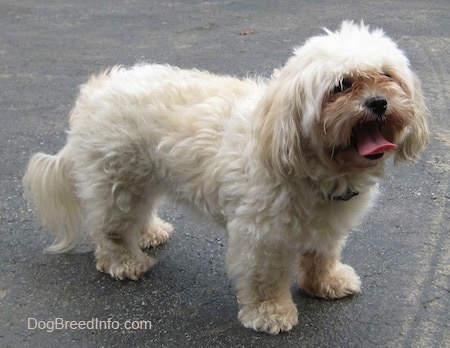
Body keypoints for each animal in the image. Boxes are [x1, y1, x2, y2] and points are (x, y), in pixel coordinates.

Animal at [23, 21, 428, 334]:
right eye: (341, 85)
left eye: (387, 76)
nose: (378, 102)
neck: (311, 167)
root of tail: (96, 91)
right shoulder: (261, 235)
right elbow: (265, 278)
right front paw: (270, 314)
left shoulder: (325, 226)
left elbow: (321, 256)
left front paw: (325, 283)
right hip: (118, 181)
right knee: (112, 228)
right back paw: (125, 262)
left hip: (142, 175)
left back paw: (150, 232)